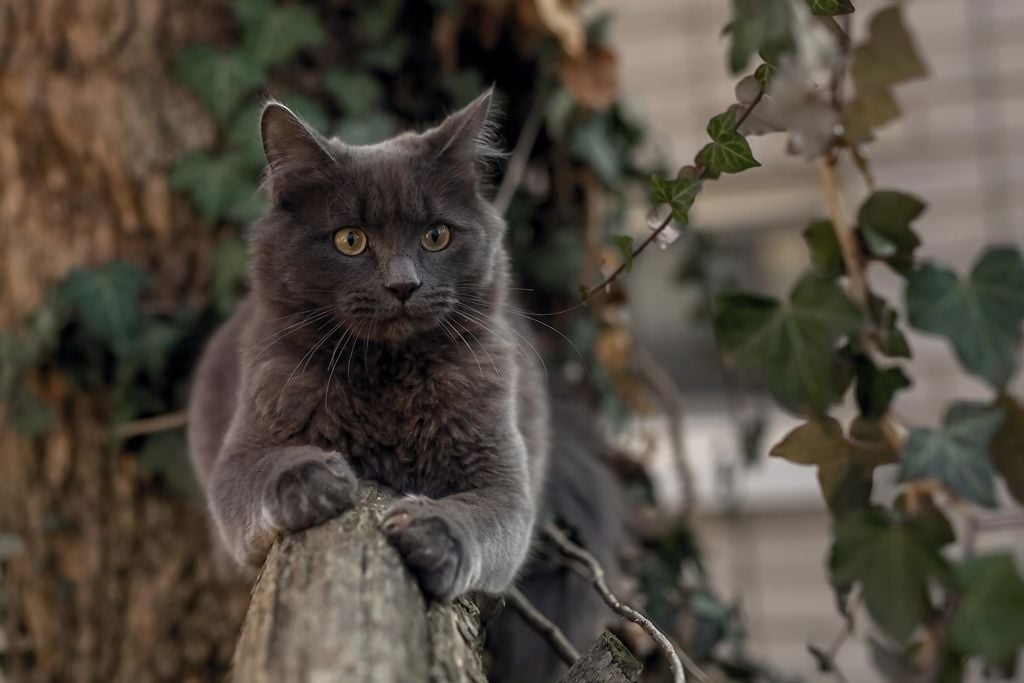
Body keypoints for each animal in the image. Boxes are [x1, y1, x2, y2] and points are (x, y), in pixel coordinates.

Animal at [190, 89, 622, 679]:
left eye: (435, 235)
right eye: (351, 240)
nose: (403, 285)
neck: (387, 376)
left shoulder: (504, 480)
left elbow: (478, 518)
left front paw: (431, 535)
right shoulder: (241, 454)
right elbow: (264, 473)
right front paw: (312, 478)